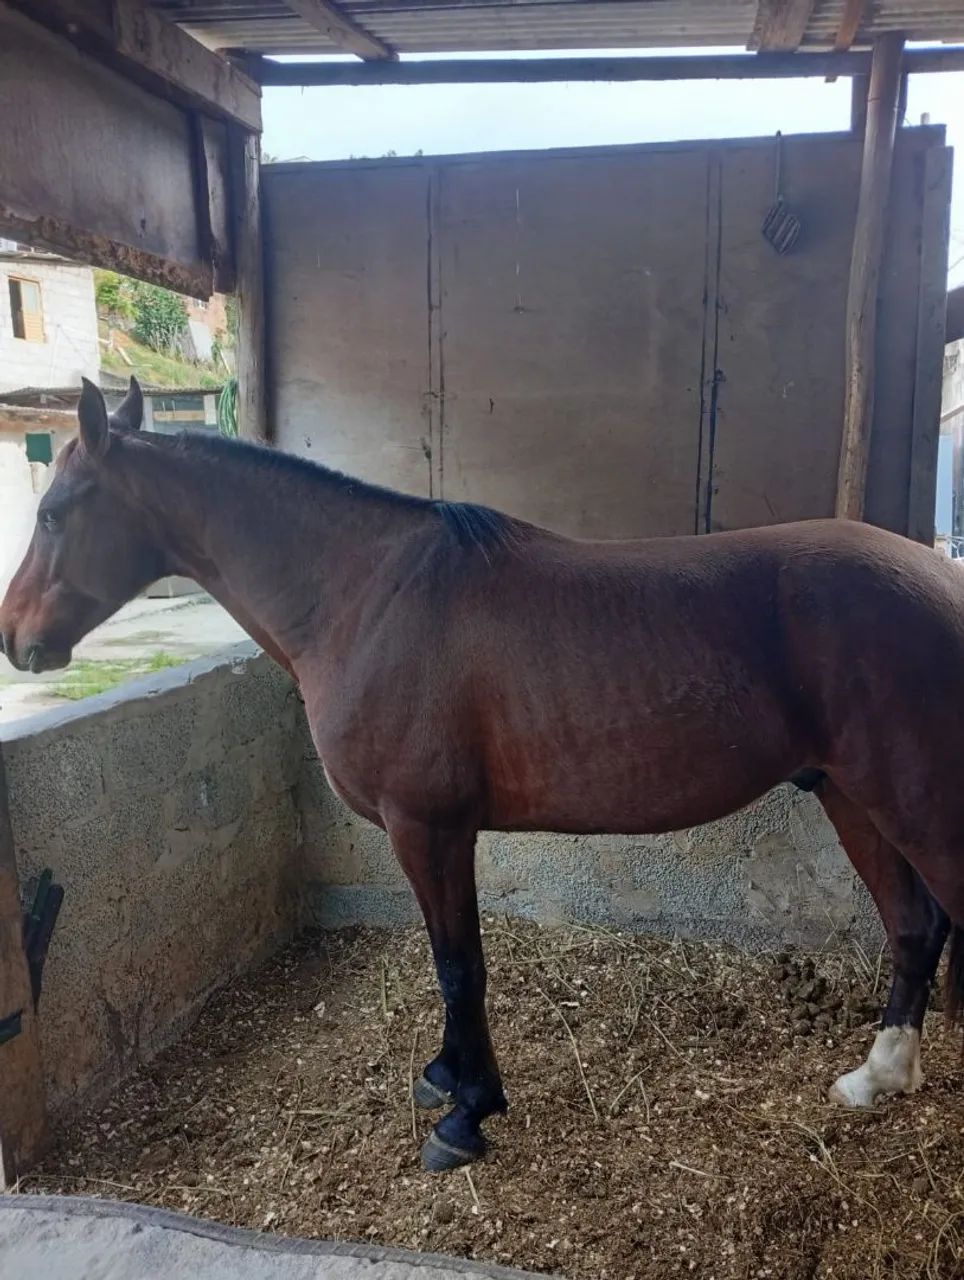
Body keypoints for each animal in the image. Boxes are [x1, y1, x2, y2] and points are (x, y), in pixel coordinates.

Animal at [2, 376, 963, 1173]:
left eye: (53, 512)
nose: (17, 639)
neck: (364, 597)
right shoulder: (431, 832)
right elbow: (448, 960)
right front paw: (444, 1076)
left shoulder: (427, 826)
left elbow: (459, 964)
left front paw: (466, 1117)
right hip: (851, 796)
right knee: (914, 927)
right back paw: (877, 1077)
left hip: (913, 803)